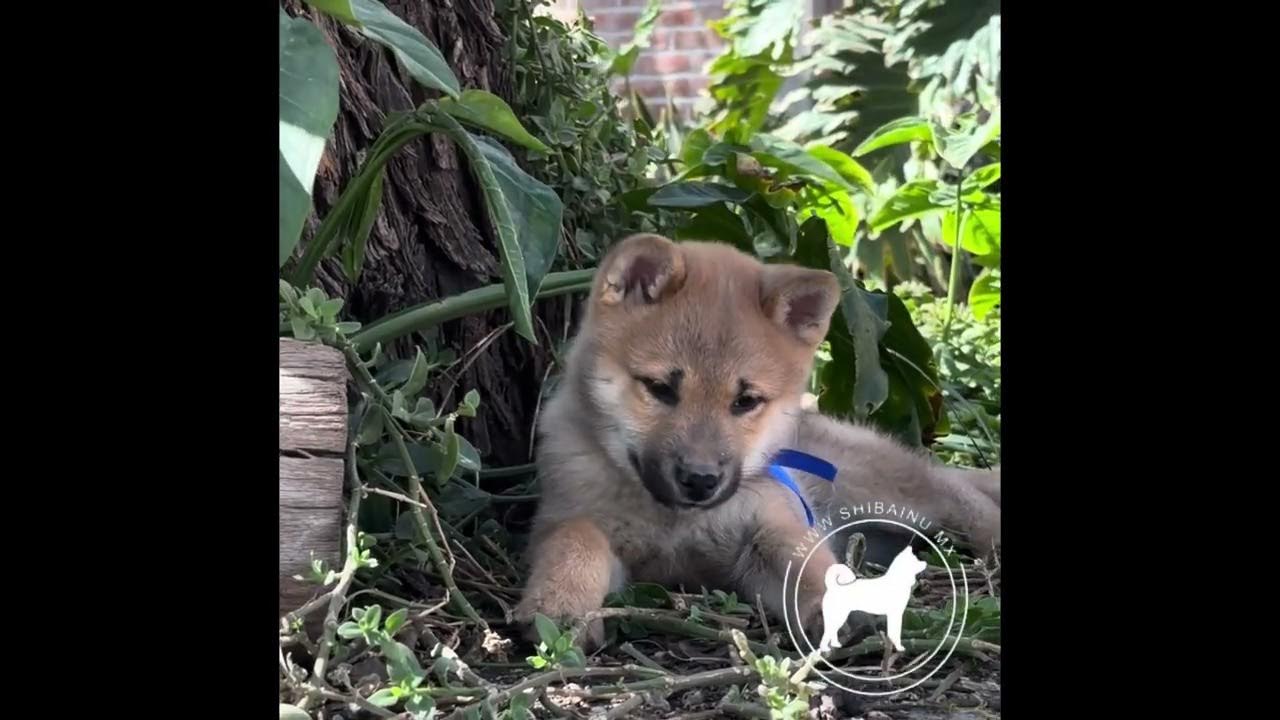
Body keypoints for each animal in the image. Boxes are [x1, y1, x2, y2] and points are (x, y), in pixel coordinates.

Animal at [512, 233, 998, 640]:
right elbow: (575, 542)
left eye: (745, 401)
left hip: (890, 493)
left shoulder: (772, 520)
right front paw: (560, 605)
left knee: (967, 501)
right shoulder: (566, 518)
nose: (701, 480)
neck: (674, 522)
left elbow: (805, 561)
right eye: (660, 388)